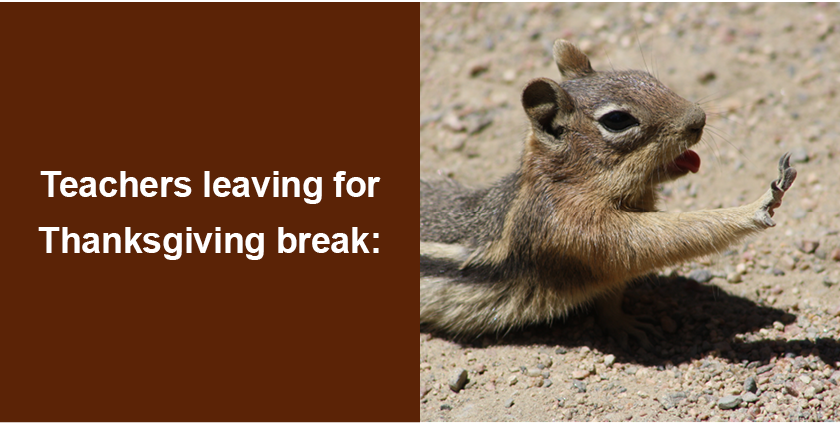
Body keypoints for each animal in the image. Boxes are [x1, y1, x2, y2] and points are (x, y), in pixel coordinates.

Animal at [420, 40, 797, 347]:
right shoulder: (573, 226)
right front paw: (759, 205)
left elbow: (613, 293)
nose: (699, 118)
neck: (570, 181)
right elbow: (662, 237)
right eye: (617, 120)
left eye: (644, 75)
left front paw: (624, 324)